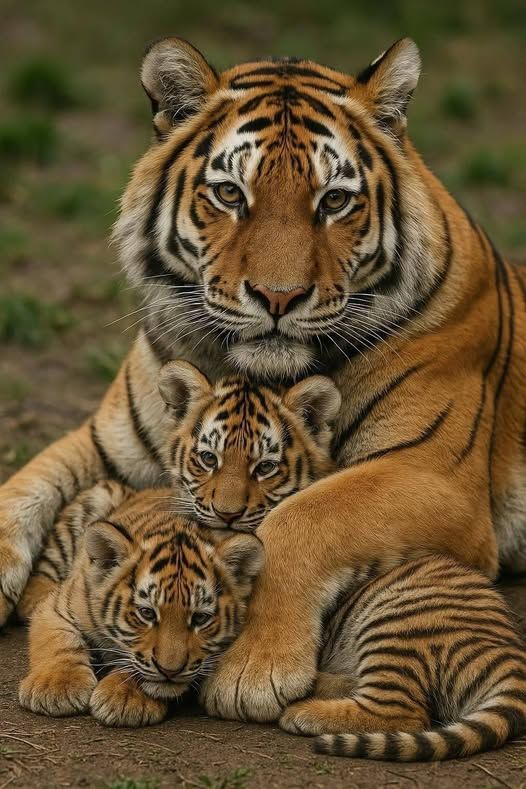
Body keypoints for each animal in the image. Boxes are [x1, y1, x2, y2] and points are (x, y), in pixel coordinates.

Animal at [18, 486, 263, 727]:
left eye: (200, 618)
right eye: (147, 613)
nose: (170, 671)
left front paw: (125, 699)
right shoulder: (58, 607)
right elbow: (58, 641)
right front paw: (57, 687)